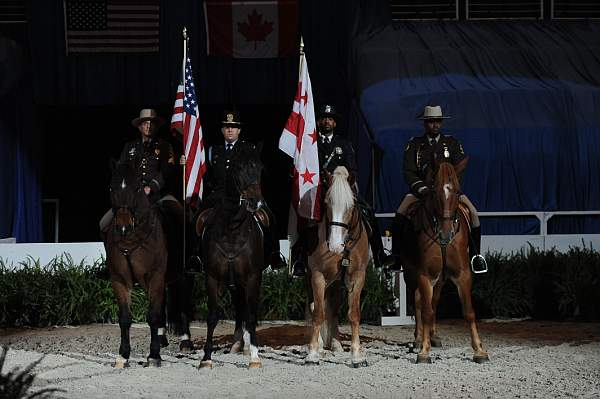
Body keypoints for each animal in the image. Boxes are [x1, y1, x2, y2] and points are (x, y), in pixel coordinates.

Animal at [103, 161, 192, 368]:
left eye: (137, 187)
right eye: (111, 187)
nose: (123, 227)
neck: (132, 239)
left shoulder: (155, 276)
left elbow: (152, 315)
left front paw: (153, 356)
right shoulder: (119, 280)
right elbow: (125, 318)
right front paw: (123, 355)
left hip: (182, 275)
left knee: (183, 303)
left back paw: (185, 341)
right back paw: (161, 337)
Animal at [199, 148, 264, 370]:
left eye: (260, 168)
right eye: (238, 168)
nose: (254, 201)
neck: (232, 229)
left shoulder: (253, 277)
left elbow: (252, 315)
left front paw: (255, 357)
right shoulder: (212, 277)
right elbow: (212, 316)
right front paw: (206, 358)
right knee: (239, 306)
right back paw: (238, 344)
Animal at [304, 166, 370, 368]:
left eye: (351, 205)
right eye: (326, 204)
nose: (334, 245)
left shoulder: (357, 277)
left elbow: (354, 314)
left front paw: (357, 356)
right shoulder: (317, 276)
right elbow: (318, 313)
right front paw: (312, 353)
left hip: (338, 286)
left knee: (332, 309)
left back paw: (336, 344)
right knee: (316, 307)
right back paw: (319, 345)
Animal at [400, 157, 490, 366]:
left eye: (457, 191)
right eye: (434, 191)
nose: (445, 234)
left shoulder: (462, 274)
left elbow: (468, 311)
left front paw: (479, 350)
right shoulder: (424, 275)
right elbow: (425, 311)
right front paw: (424, 351)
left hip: (440, 279)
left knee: (433, 301)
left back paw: (433, 336)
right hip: (411, 275)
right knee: (418, 302)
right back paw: (419, 339)